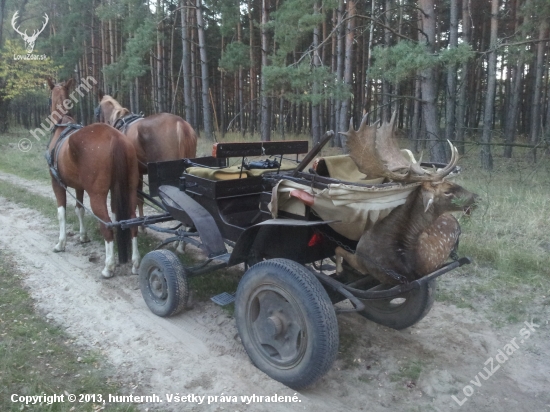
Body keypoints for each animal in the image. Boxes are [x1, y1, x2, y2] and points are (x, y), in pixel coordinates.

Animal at [47, 79, 141, 278]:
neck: (63, 126)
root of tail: (115, 138)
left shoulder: (57, 183)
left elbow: (61, 213)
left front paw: (61, 243)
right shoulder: (79, 187)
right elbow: (79, 209)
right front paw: (83, 236)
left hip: (97, 195)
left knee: (106, 225)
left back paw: (108, 267)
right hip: (129, 189)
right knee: (132, 222)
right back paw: (136, 263)